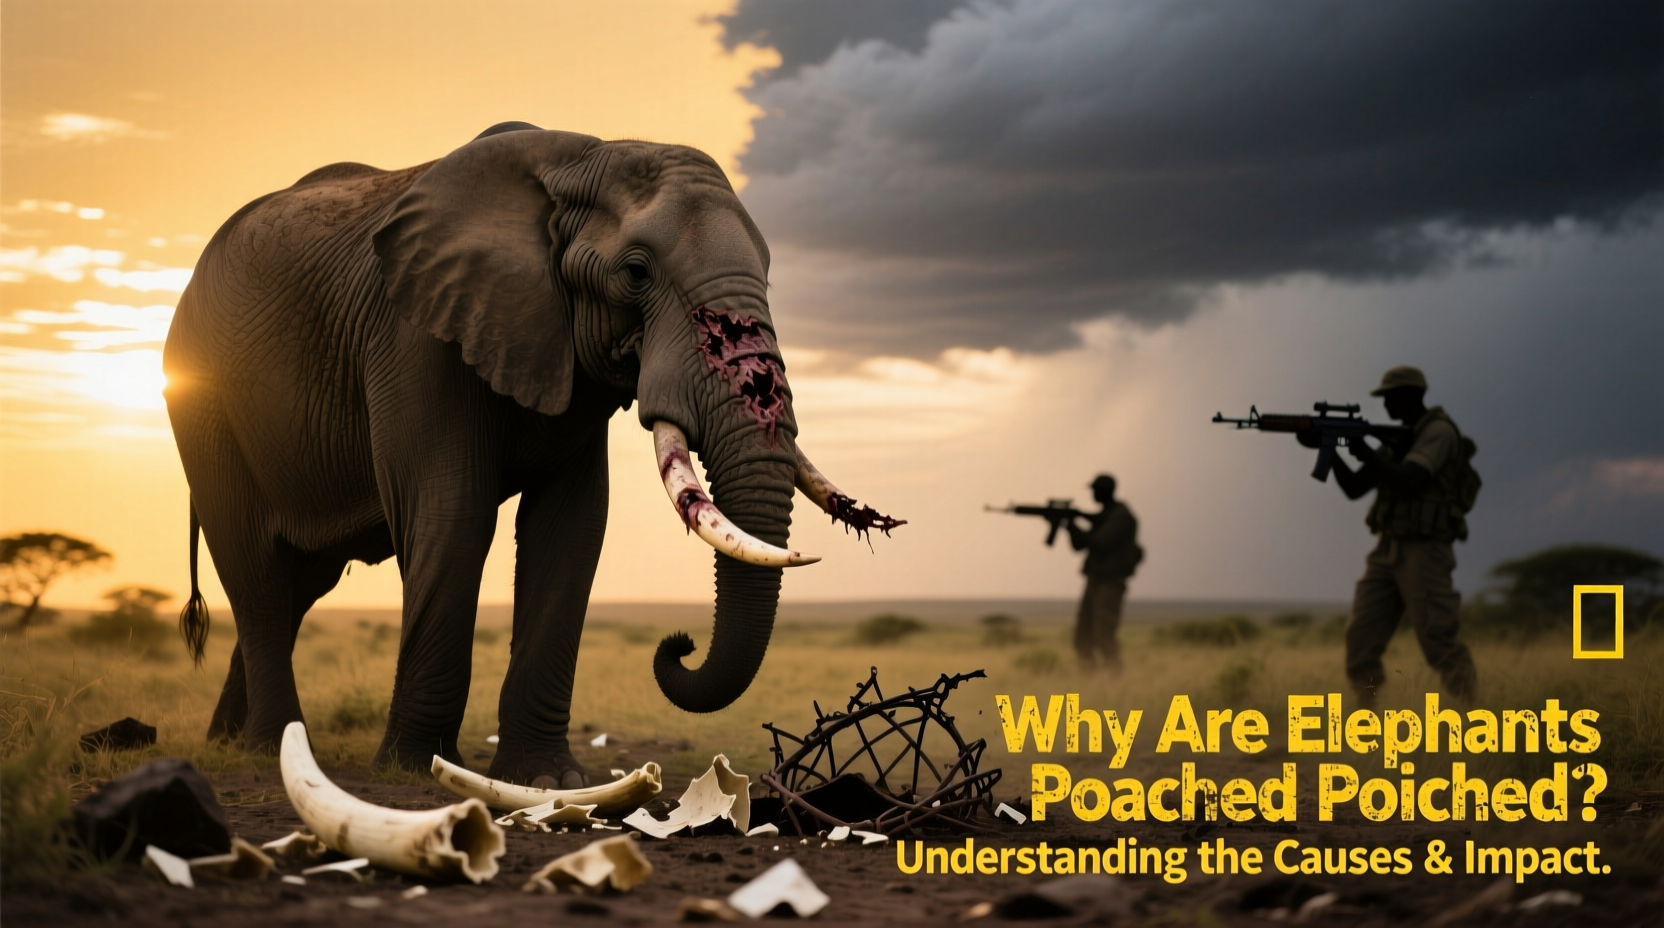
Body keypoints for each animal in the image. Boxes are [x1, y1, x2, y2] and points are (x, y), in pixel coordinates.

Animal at [162, 122, 902, 786]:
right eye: (636, 273)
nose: (678, 645)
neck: (576, 157)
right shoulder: (417, 338)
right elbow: (454, 519)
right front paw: (415, 769)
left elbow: (570, 529)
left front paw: (548, 779)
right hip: (203, 401)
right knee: (256, 569)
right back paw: (267, 750)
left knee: (298, 583)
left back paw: (233, 742)